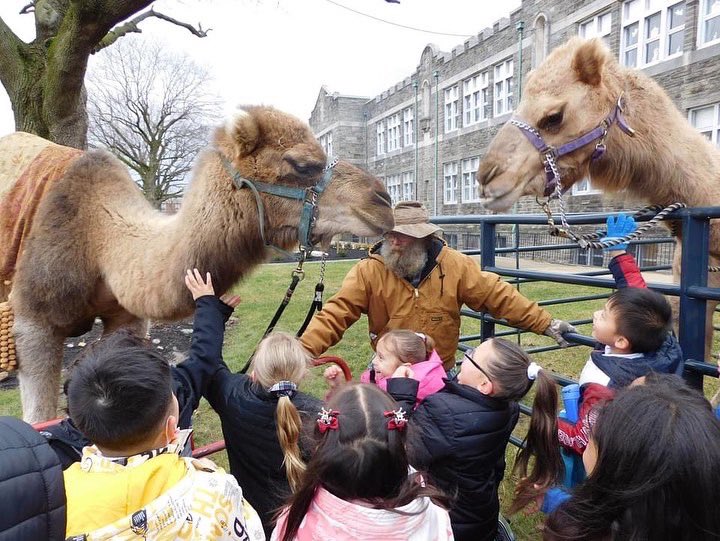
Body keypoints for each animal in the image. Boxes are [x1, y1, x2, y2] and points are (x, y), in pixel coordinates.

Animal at [0, 105, 394, 423]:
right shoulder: (34, 321)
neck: (99, 239)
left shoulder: (126, 315)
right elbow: (38, 415)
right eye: (299, 164)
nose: (383, 200)